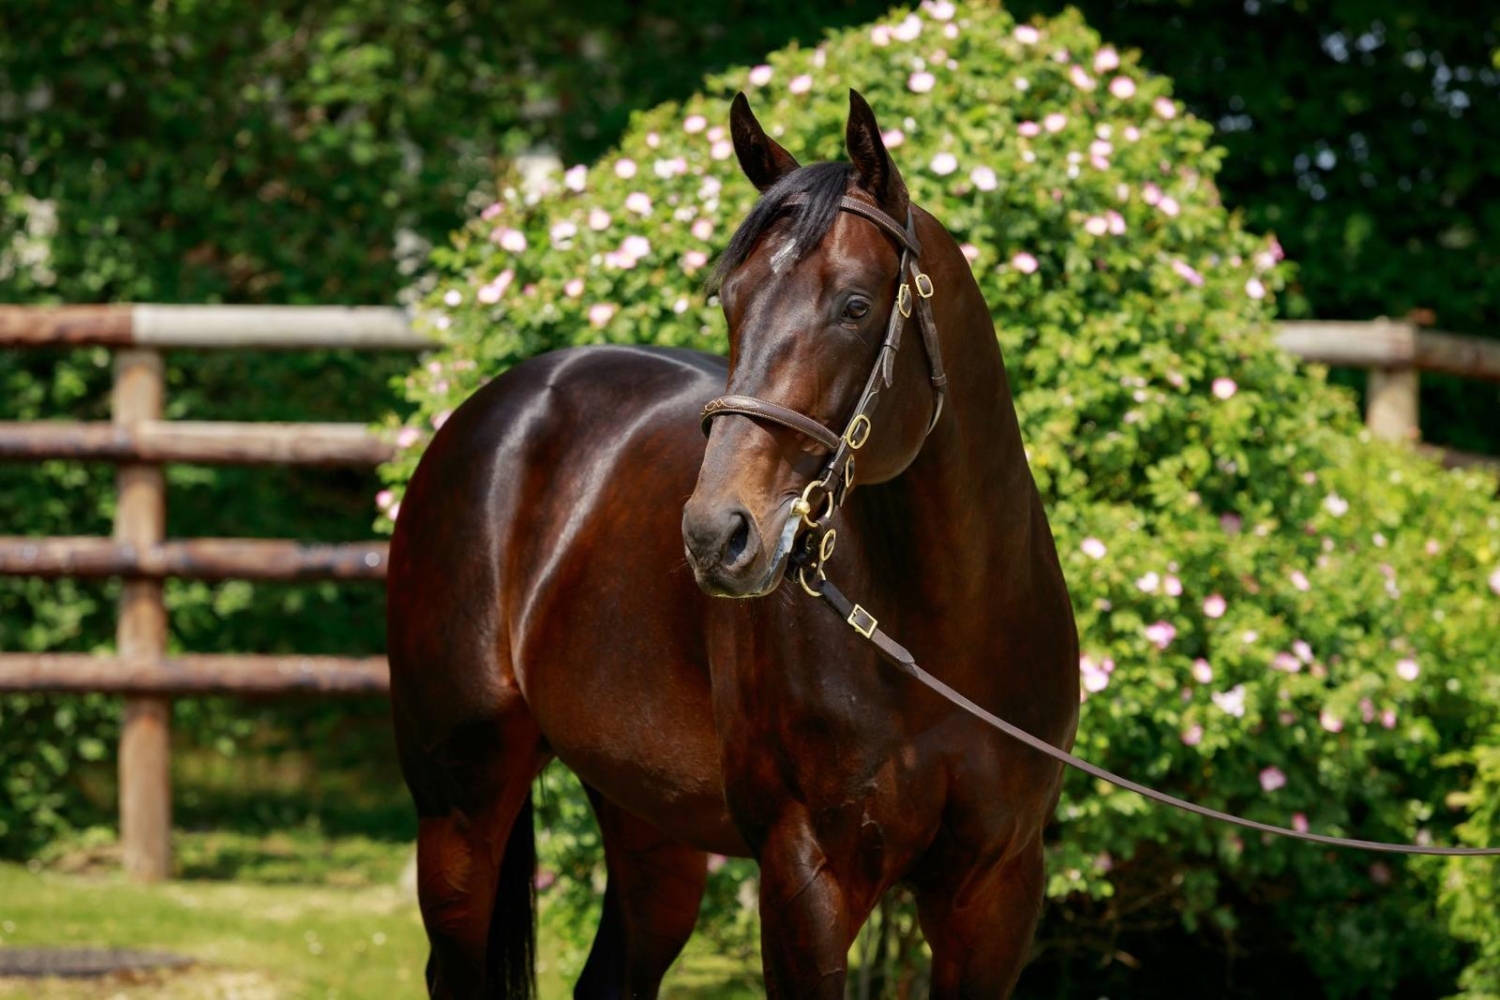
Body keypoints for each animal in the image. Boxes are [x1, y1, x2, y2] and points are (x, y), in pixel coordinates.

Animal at [387, 89, 1080, 999]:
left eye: (855, 306)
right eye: (732, 301)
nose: (717, 534)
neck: (942, 638)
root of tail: (495, 408)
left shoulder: (997, 890)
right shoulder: (804, 880)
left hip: (648, 821)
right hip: (460, 806)